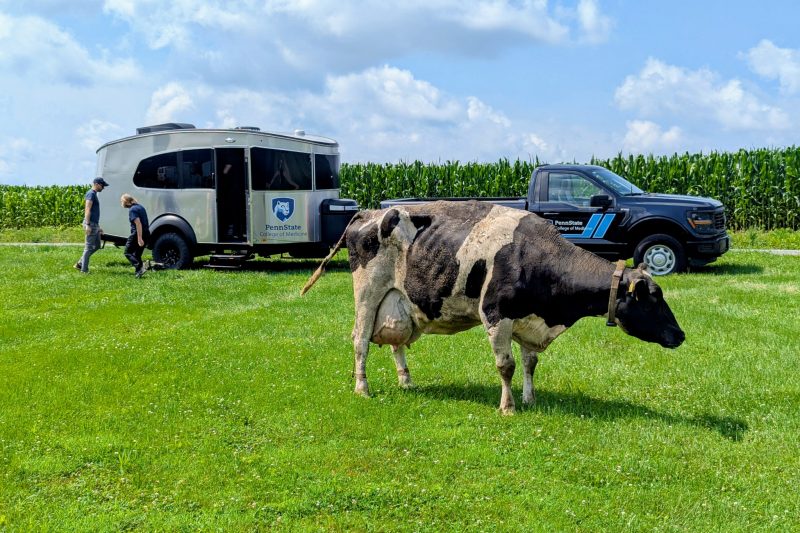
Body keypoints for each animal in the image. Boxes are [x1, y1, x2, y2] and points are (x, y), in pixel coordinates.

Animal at [302, 201, 685, 414]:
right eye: (652, 298)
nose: (680, 335)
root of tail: (372, 212)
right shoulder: (497, 315)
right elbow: (507, 365)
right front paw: (508, 407)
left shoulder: (527, 318)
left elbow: (530, 363)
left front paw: (530, 399)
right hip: (368, 293)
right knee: (360, 340)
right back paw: (362, 388)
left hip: (401, 300)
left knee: (397, 343)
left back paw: (406, 381)